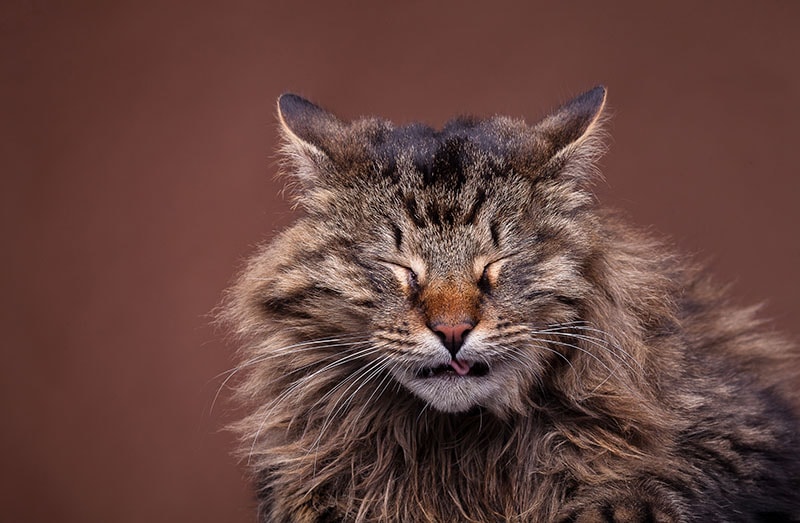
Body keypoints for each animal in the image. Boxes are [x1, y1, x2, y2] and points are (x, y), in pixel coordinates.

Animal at [223, 88, 800, 520]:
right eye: (401, 269)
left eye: (496, 265)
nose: (453, 331)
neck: (459, 453)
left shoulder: (750, 441)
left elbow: (648, 493)